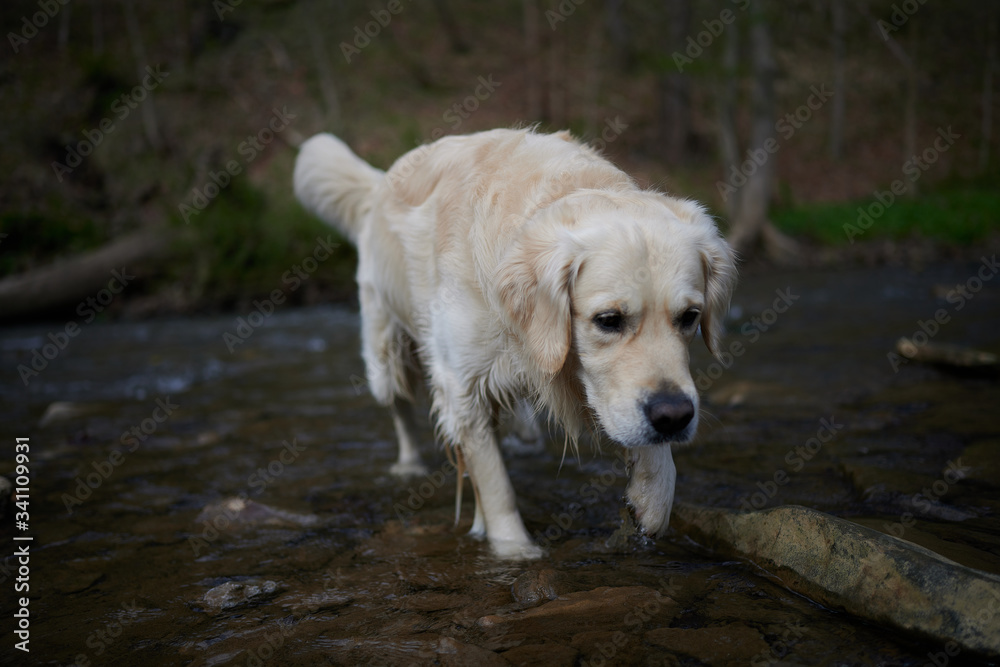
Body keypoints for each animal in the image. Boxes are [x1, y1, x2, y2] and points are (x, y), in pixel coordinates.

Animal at [292, 126, 740, 560]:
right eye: (608, 320)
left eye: (690, 317)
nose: (675, 418)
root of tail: (382, 180)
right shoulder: (462, 387)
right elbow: (495, 484)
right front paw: (513, 549)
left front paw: (652, 497)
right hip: (386, 351)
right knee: (399, 406)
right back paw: (410, 464)